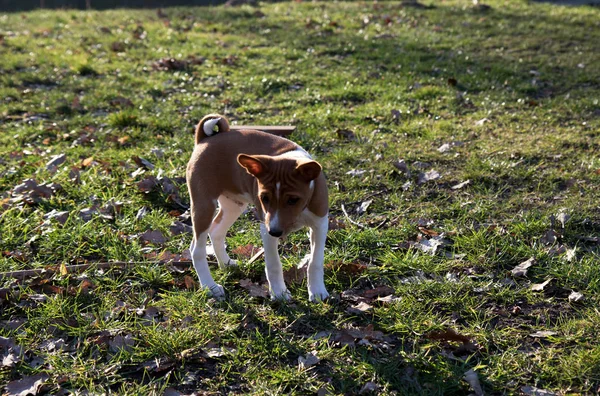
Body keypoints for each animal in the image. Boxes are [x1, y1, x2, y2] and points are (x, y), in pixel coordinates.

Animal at [186, 114, 330, 304]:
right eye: (264, 198)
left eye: (293, 199)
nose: (275, 231)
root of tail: (205, 139)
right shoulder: (266, 227)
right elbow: (274, 264)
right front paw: (279, 293)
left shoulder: (320, 224)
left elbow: (315, 261)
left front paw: (318, 291)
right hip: (204, 205)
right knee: (197, 249)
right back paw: (210, 287)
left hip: (234, 205)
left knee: (216, 230)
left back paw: (226, 264)